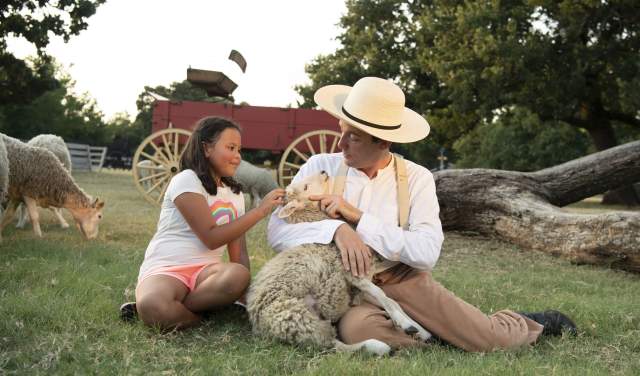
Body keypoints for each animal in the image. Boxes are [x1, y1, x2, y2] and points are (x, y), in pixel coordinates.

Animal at [248, 172, 432, 354]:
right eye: (305, 187)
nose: (323, 172)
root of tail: (258, 326)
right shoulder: (351, 270)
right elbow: (382, 295)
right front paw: (407, 324)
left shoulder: (363, 277)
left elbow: (391, 301)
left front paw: (419, 330)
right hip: (294, 317)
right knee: (331, 344)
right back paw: (376, 346)